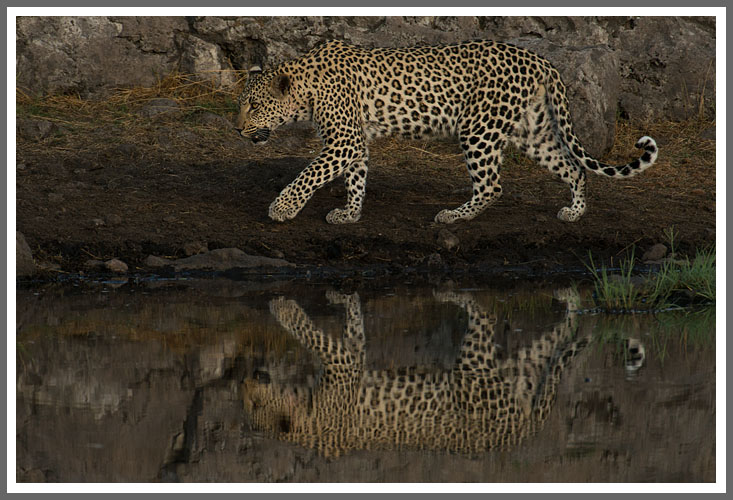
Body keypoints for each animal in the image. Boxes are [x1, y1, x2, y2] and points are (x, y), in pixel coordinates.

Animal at [235, 39, 658, 225]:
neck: (306, 88)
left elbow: (308, 174)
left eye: (253, 105)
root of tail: (540, 60)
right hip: (531, 132)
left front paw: (282, 208)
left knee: (492, 185)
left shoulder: (344, 139)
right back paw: (574, 211)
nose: (237, 129)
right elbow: (356, 178)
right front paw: (350, 213)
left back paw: (454, 216)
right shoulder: (354, 141)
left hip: (478, 127)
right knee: (573, 167)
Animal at [241, 289, 590, 457]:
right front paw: (346, 300)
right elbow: (354, 329)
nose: (247, 377)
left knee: (489, 320)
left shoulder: (343, 365)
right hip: (520, 372)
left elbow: (308, 332)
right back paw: (575, 317)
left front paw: (282, 308)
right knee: (553, 344)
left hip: (473, 364)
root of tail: (521, 433)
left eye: (255, 405)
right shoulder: (352, 355)